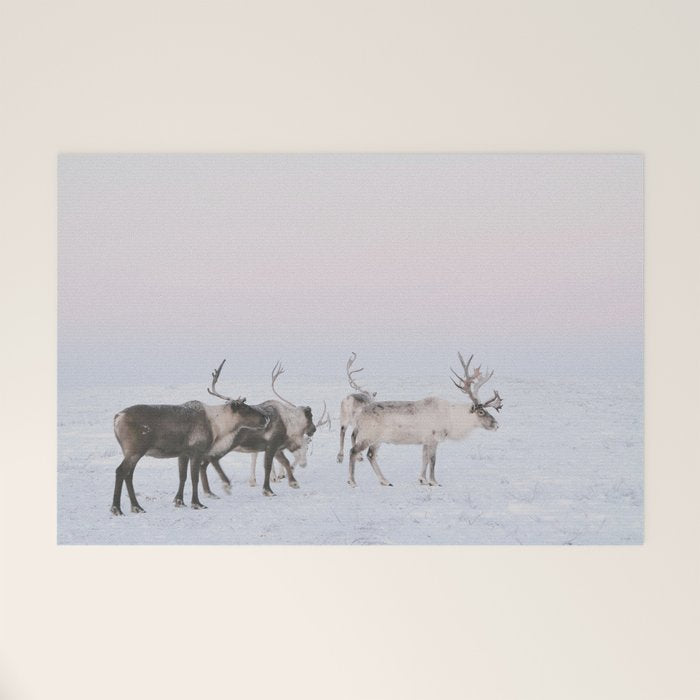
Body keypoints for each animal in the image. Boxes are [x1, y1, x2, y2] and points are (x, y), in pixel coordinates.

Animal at [111, 360, 269, 515]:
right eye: (246, 408)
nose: (266, 417)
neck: (217, 426)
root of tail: (117, 417)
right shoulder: (197, 451)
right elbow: (194, 478)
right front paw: (197, 503)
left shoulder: (183, 453)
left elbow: (183, 477)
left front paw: (179, 501)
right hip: (135, 450)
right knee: (120, 471)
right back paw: (117, 508)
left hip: (132, 452)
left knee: (129, 475)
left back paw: (136, 507)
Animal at [199, 361, 327, 497]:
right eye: (311, 416)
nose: (314, 429)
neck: (289, 422)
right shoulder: (272, 445)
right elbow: (268, 466)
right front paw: (268, 489)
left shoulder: (276, 447)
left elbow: (285, 462)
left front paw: (293, 482)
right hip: (223, 446)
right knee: (207, 461)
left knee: (204, 464)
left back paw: (208, 492)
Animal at [347, 352, 503, 488]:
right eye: (481, 412)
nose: (496, 425)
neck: (452, 418)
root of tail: (360, 414)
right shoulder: (434, 439)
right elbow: (433, 460)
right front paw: (434, 481)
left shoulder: (425, 441)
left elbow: (424, 459)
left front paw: (422, 479)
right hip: (368, 436)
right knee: (353, 451)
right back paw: (352, 481)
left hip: (378, 440)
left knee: (371, 455)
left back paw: (385, 481)